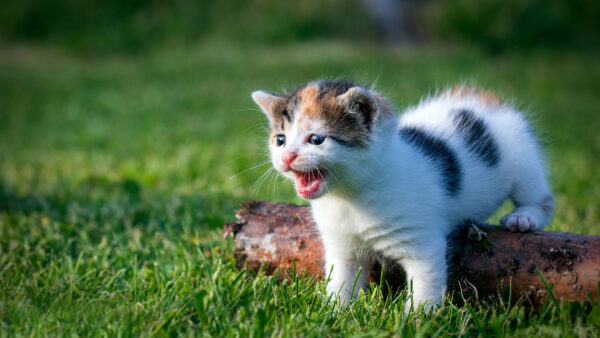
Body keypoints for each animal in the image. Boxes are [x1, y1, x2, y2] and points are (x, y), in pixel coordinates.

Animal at [248, 80, 552, 310]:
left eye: (316, 139)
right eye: (280, 140)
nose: (287, 157)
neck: (350, 198)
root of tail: (486, 100)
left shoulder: (423, 242)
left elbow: (425, 285)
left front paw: (418, 320)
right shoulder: (341, 245)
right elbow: (340, 280)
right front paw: (335, 313)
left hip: (522, 156)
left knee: (540, 195)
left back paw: (525, 217)